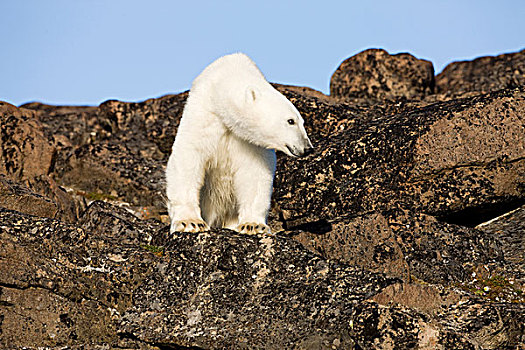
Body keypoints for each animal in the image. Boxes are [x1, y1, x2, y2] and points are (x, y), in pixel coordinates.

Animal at [165, 53, 312, 235]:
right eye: (290, 121)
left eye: (302, 122)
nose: (307, 148)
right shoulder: (203, 116)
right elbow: (188, 157)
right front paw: (190, 222)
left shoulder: (250, 143)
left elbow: (254, 173)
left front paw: (253, 225)